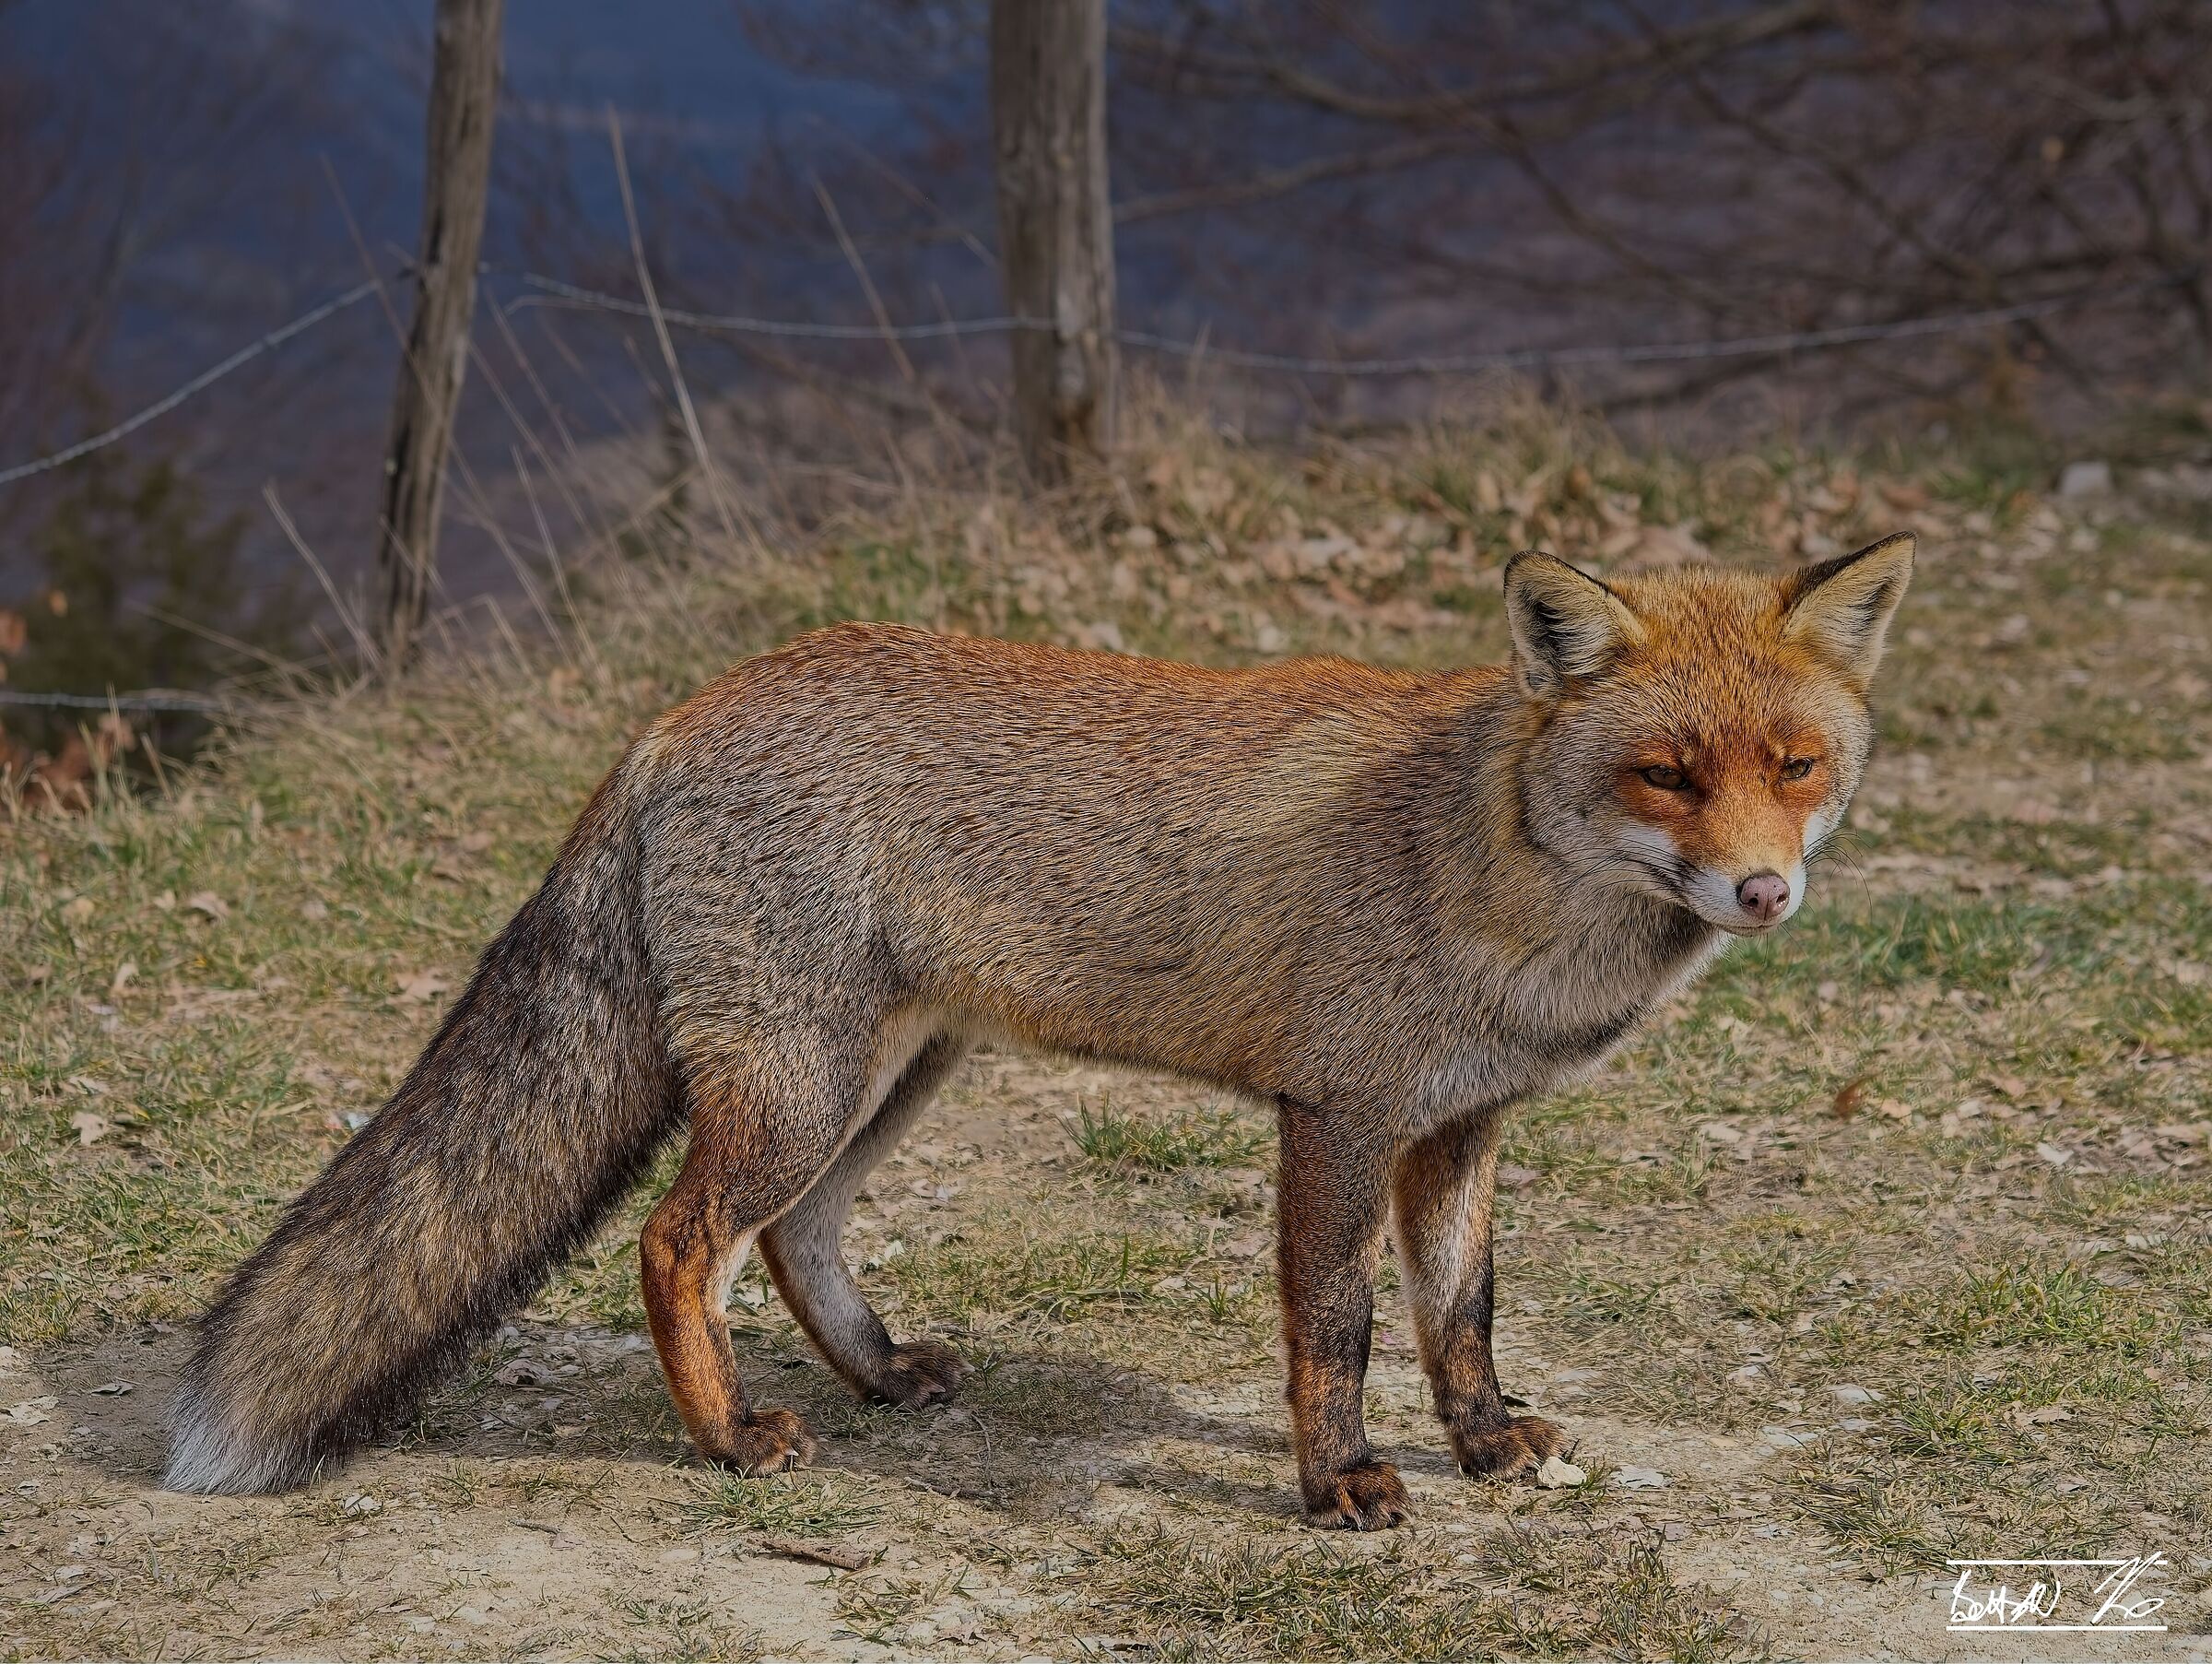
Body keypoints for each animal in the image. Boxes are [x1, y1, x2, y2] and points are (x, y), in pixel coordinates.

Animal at [164, 531, 1914, 1528]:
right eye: (1665, 775)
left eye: (1795, 765)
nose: (1762, 890)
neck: (1487, 871)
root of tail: (678, 714)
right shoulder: (1340, 1115)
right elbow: (1339, 1332)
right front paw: (1339, 1486)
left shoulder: (1462, 1126)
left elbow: (1460, 1318)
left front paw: (1484, 1451)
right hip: (801, 1085)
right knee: (676, 1244)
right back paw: (732, 1442)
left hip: (891, 1076)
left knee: (794, 1240)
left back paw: (879, 1377)